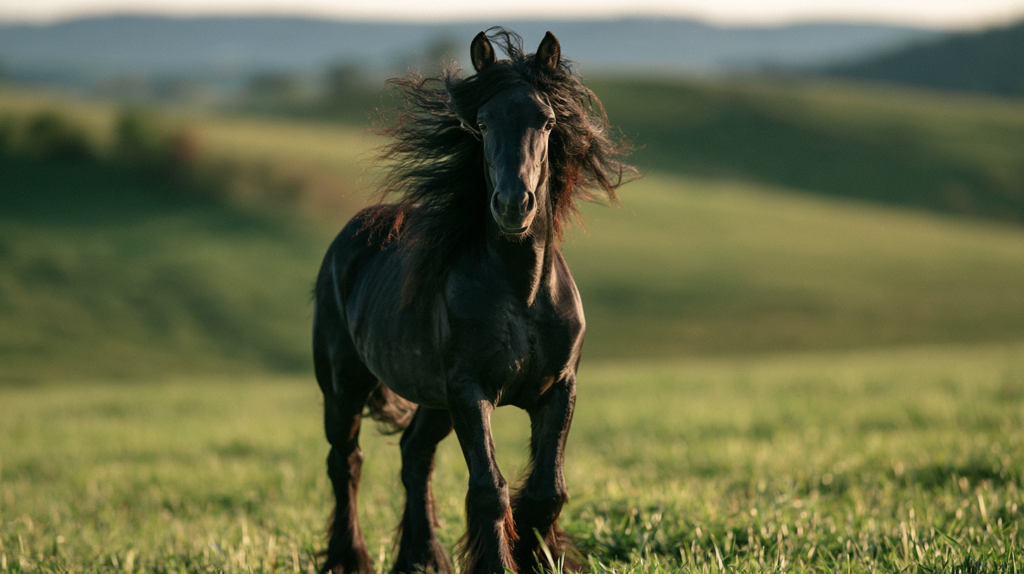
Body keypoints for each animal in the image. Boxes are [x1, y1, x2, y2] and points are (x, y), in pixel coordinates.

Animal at [312, 28, 633, 574]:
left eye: (547, 120)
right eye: (482, 122)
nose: (513, 205)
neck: (523, 292)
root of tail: (347, 239)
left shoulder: (558, 388)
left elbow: (546, 492)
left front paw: (538, 555)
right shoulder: (469, 390)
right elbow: (489, 490)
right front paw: (499, 562)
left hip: (433, 399)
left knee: (414, 455)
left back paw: (421, 558)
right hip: (344, 386)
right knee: (346, 462)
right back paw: (351, 558)